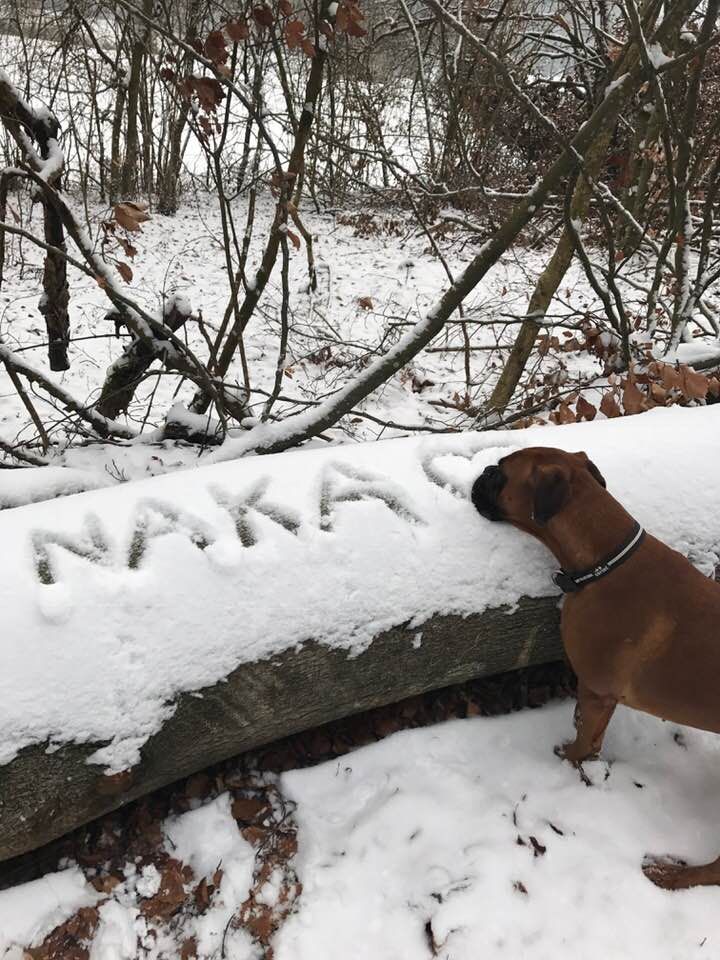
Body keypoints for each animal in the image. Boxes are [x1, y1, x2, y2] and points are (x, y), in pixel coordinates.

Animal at [472, 450, 720, 892]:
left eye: (499, 474)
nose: (482, 471)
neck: (604, 562)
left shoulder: (596, 688)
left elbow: (582, 738)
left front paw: (569, 759)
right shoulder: (602, 698)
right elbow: (593, 735)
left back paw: (672, 876)